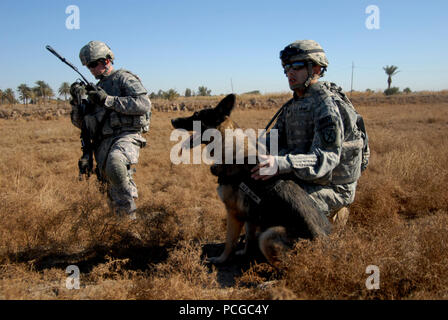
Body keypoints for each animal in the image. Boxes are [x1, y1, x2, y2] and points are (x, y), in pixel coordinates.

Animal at [172, 95, 332, 268]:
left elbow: (230, 242)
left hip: (268, 235)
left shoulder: (234, 214)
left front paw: (221, 260)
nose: (172, 120)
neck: (229, 148)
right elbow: (249, 237)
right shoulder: (250, 216)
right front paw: (245, 254)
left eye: (196, 115)